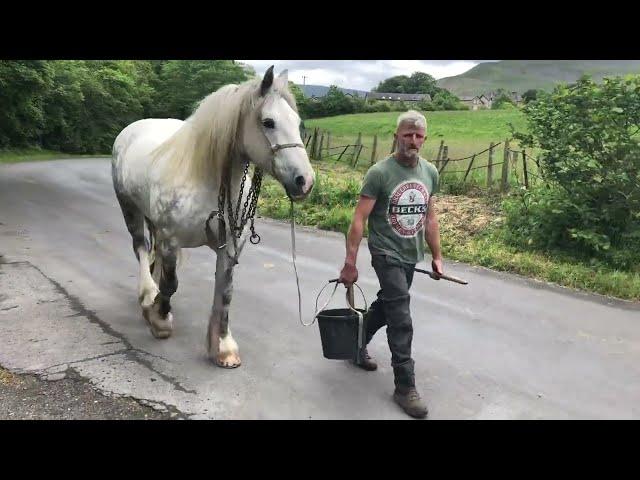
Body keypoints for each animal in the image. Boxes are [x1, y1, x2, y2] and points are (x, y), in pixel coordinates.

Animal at [110, 66, 316, 368]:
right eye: (268, 122)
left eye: (298, 122)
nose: (305, 181)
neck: (206, 180)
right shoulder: (171, 239)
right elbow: (171, 283)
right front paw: (160, 319)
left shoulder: (229, 247)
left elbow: (225, 292)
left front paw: (223, 346)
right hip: (130, 209)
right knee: (141, 248)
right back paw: (148, 295)